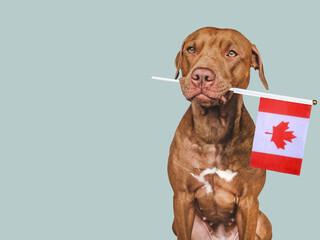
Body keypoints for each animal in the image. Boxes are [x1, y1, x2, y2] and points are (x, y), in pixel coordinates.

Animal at [168, 27, 272, 240]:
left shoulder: (249, 201)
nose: (201, 75)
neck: (213, 129)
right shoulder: (182, 198)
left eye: (231, 53)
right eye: (191, 49)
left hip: (263, 221)